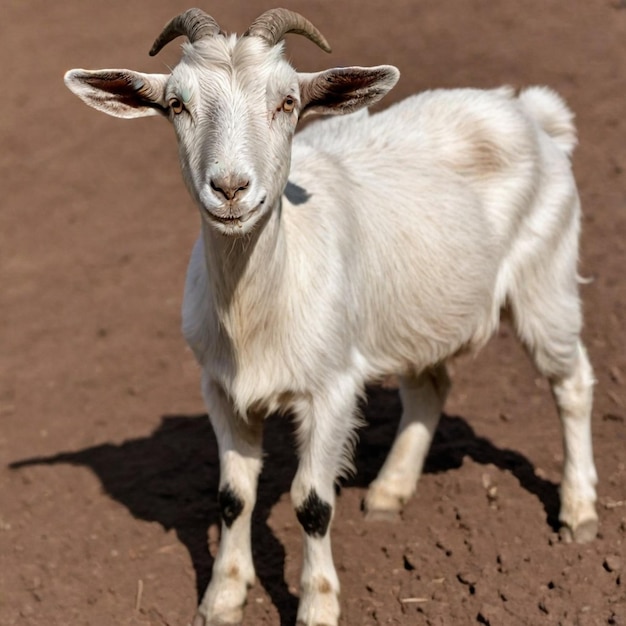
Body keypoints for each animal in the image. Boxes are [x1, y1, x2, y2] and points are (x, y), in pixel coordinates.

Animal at [63, 8, 596, 624]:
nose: (230, 188)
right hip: (415, 307)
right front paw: (222, 597)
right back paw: (389, 492)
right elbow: (233, 497)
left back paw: (579, 510)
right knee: (431, 384)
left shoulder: (332, 387)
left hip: (546, 275)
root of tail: (530, 111)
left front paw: (317, 604)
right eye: (176, 104)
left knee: (571, 382)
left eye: (288, 102)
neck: (254, 312)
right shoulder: (219, 387)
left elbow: (312, 503)